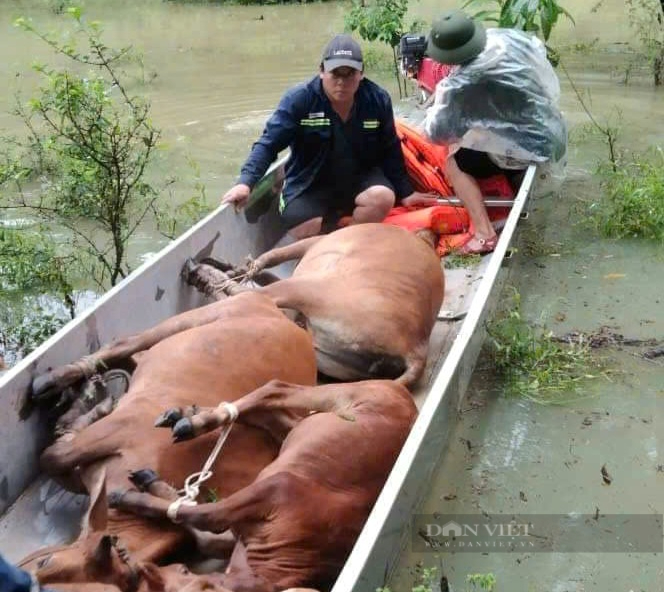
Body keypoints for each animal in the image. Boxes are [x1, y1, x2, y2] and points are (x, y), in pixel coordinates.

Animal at [22, 292, 318, 588]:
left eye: (45, 562)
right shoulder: (119, 428)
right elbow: (55, 458)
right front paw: (86, 408)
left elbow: (53, 458)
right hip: (198, 317)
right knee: (125, 344)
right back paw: (54, 380)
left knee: (132, 356)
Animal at [111, 380, 418, 592]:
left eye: (185, 572)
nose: (145, 569)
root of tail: (405, 396)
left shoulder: (268, 493)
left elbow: (202, 520)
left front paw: (126, 497)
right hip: (342, 396)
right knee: (275, 391)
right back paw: (192, 417)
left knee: (278, 406)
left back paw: (192, 415)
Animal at [185, 222, 446, 388]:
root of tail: (416, 349)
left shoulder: (313, 243)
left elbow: (270, 258)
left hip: (310, 288)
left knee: (247, 296)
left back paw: (200, 274)